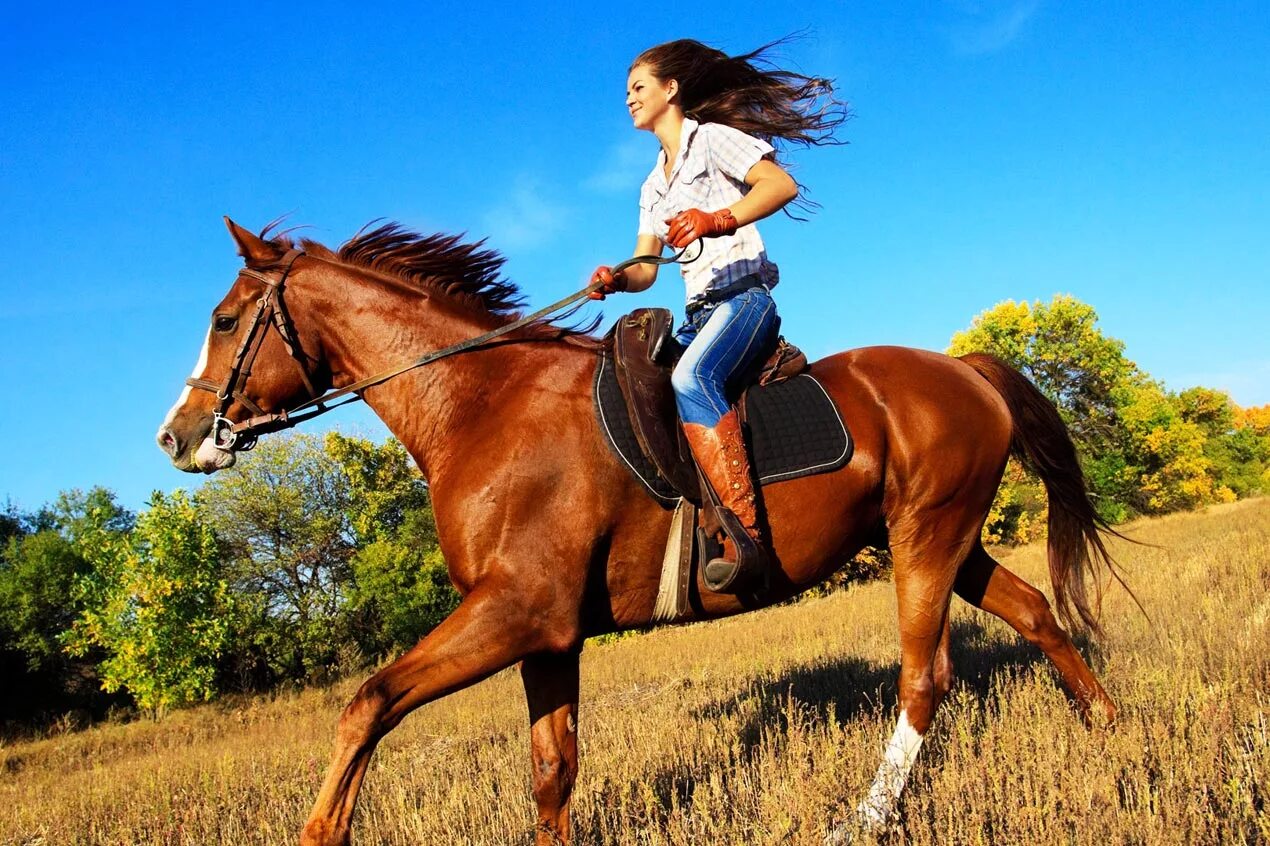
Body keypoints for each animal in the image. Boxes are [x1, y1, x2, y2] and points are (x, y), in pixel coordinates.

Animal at [156, 218, 1122, 843]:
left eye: (226, 321)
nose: (176, 437)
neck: (479, 406)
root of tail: (965, 368)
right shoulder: (549, 635)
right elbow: (552, 773)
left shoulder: (515, 611)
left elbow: (369, 703)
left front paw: (322, 830)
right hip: (945, 538)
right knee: (1036, 612)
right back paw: (1110, 726)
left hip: (925, 543)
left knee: (926, 679)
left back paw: (866, 818)